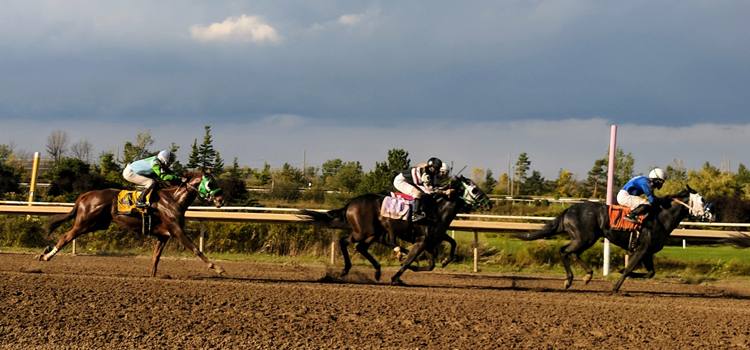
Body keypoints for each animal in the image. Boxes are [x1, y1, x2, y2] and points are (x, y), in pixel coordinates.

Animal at [39, 171, 226, 278]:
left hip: (97, 224)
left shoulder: (163, 236)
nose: (220, 200)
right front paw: (217, 268)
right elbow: (196, 249)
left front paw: (152, 275)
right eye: (210, 183)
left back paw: (45, 252)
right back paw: (46, 256)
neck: (174, 200)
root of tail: (85, 195)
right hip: (85, 223)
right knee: (66, 237)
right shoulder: (176, 231)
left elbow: (156, 257)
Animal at [300, 176, 494, 286]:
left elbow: (447, 248)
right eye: (474, 189)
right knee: (344, 242)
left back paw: (377, 271)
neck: (437, 210)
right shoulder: (422, 241)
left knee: (361, 247)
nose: (489, 203)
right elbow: (410, 261)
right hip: (363, 231)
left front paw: (445, 261)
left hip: (373, 233)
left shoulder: (433, 239)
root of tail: (350, 203)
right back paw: (346, 270)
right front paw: (396, 276)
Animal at [520, 186, 708, 292]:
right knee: (564, 251)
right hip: (585, 238)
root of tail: (569, 210)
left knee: (570, 253)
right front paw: (615, 286)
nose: (709, 214)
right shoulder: (642, 249)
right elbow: (629, 268)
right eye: (702, 199)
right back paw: (570, 280)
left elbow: (650, 273)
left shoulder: (648, 252)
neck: (661, 216)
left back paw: (586, 276)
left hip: (584, 239)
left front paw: (624, 273)